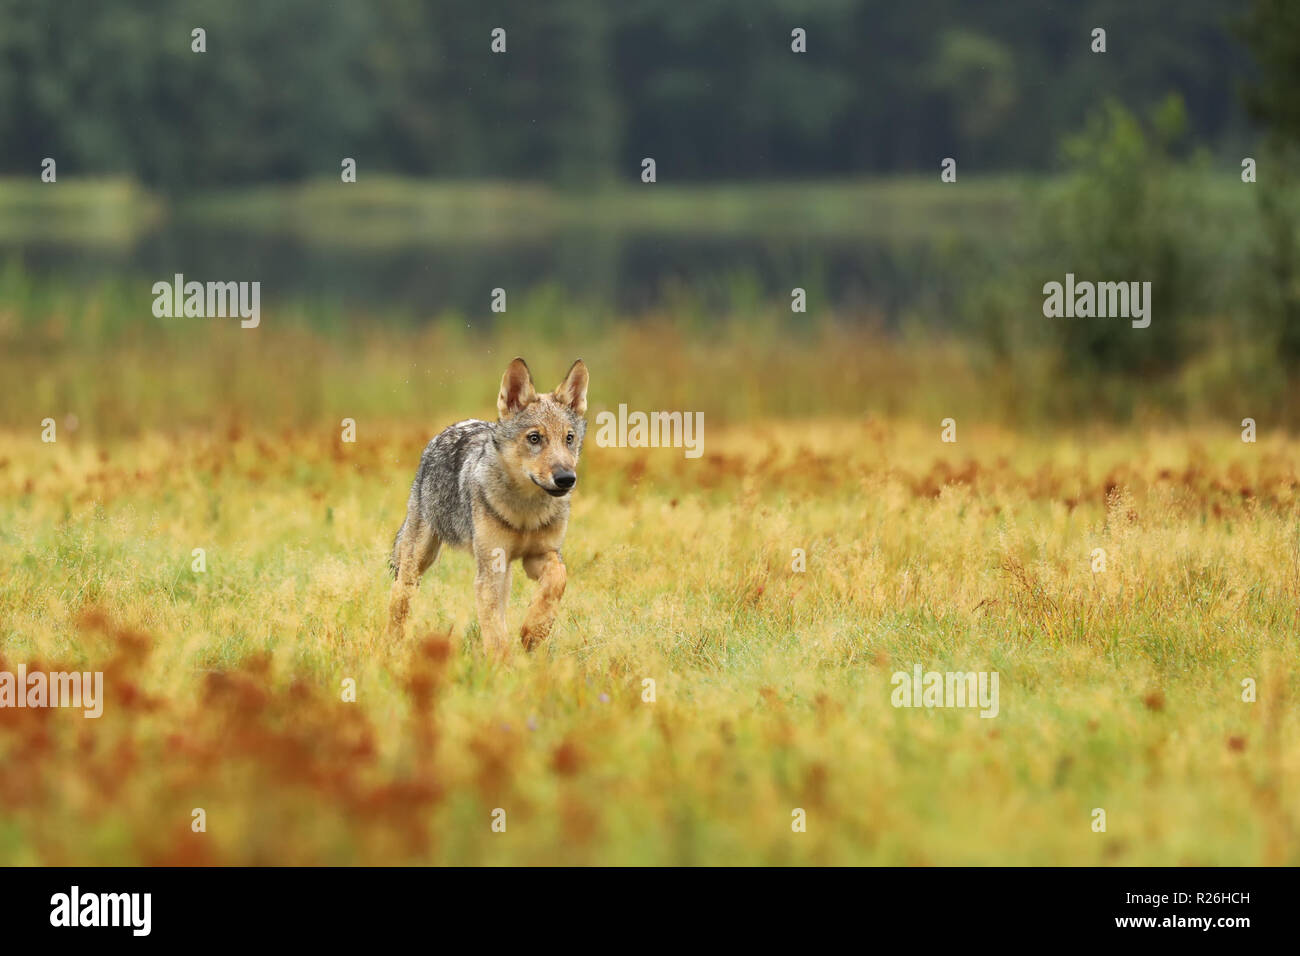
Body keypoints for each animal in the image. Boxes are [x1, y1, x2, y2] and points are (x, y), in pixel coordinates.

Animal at [384, 358, 590, 658]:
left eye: (569, 438)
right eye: (535, 438)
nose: (566, 478)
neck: (526, 512)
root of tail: (451, 428)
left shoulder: (541, 555)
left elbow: (557, 580)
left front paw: (533, 632)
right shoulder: (492, 567)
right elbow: (495, 633)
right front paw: (503, 665)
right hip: (418, 562)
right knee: (398, 598)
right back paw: (391, 648)